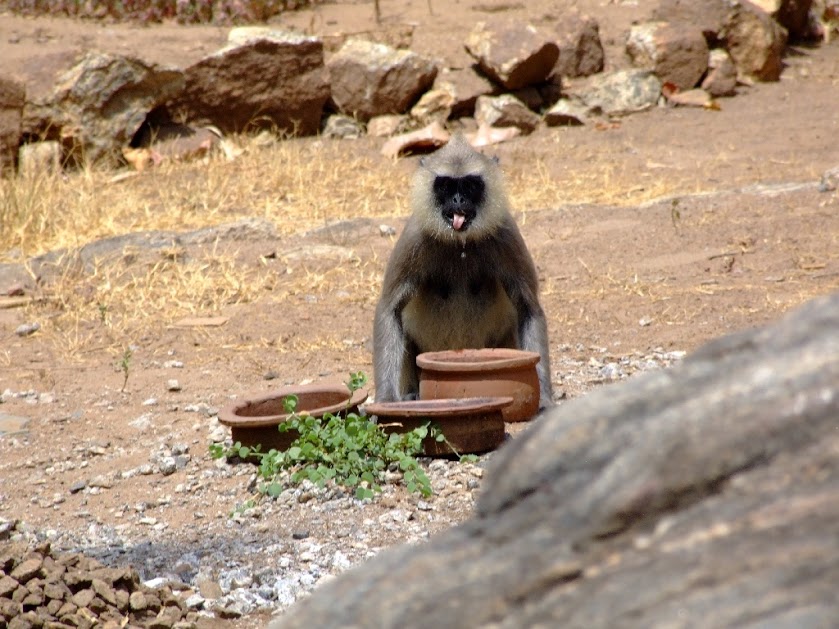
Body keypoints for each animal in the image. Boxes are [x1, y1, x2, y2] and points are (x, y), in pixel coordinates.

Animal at [370, 134, 556, 408]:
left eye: (469, 186)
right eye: (446, 186)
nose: (458, 200)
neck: (459, 243)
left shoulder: (506, 234)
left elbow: (528, 309)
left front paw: (543, 399)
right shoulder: (414, 238)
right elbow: (389, 309)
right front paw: (385, 401)